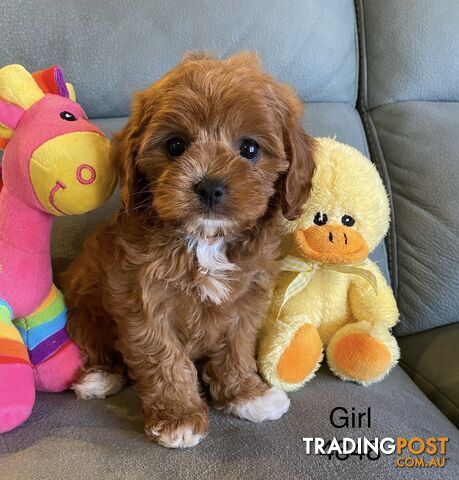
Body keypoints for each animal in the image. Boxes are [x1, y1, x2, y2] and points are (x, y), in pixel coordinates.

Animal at [63, 54, 316, 448]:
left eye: (250, 149)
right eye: (175, 145)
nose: (210, 186)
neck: (205, 240)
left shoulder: (247, 300)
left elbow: (237, 347)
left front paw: (245, 395)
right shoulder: (143, 302)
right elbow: (164, 360)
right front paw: (178, 418)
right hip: (84, 303)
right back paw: (100, 376)